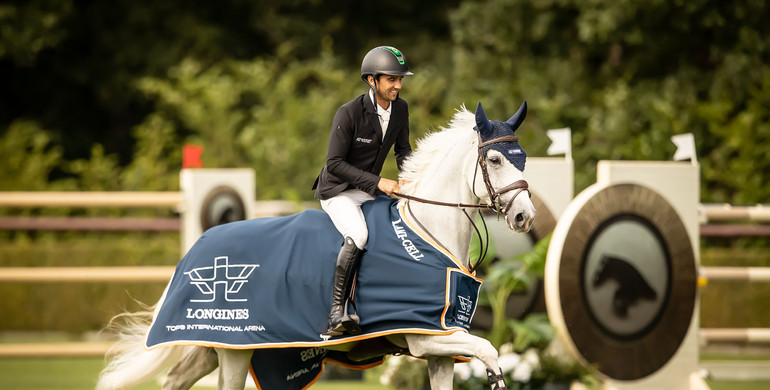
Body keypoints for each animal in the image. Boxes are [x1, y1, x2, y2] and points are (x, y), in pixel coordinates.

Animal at [97, 101, 536, 390]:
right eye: (495, 160)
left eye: (524, 158)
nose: (524, 217)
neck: (429, 233)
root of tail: (199, 246)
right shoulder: (424, 334)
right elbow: (491, 351)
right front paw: (496, 377)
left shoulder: (440, 350)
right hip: (235, 345)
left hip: (216, 343)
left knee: (175, 380)